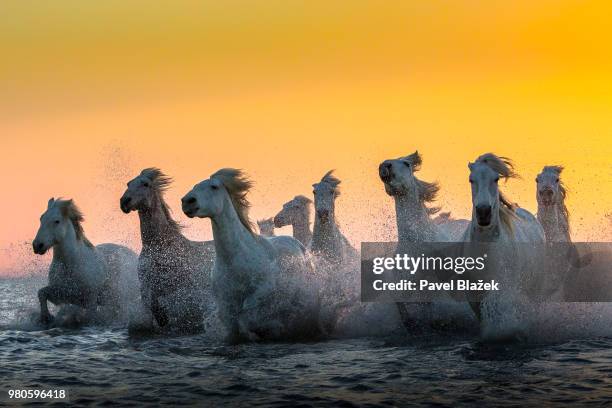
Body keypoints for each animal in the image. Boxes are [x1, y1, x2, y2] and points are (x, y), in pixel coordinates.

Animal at [33, 198, 137, 326]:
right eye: (41, 218)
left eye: (57, 221)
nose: (37, 245)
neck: (72, 264)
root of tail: (134, 256)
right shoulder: (63, 294)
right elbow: (42, 293)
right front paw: (46, 318)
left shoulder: (90, 300)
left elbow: (89, 318)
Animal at [120, 167, 215, 334]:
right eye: (128, 183)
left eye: (145, 184)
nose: (124, 202)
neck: (160, 246)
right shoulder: (146, 287)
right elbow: (151, 306)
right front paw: (161, 320)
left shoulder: (171, 287)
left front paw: (163, 319)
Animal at [180, 167, 320, 342]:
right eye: (195, 186)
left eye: (214, 187)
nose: (187, 201)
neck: (235, 259)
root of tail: (298, 244)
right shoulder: (225, 303)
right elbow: (233, 326)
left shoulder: (263, 291)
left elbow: (247, 316)